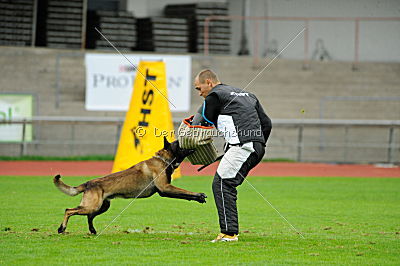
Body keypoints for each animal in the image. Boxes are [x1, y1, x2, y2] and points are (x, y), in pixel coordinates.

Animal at [53, 137, 206, 235]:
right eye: (179, 144)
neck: (163, 159)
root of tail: (88, 183)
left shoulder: (166, 190)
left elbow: (183, 194)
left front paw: (197, 198)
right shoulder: (165, 188)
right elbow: (184, 191)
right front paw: (198, 195)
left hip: (102, 206)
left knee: (89, 217)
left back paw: (92, 231)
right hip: (92, 206)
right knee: (69, 210)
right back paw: (62, 228)